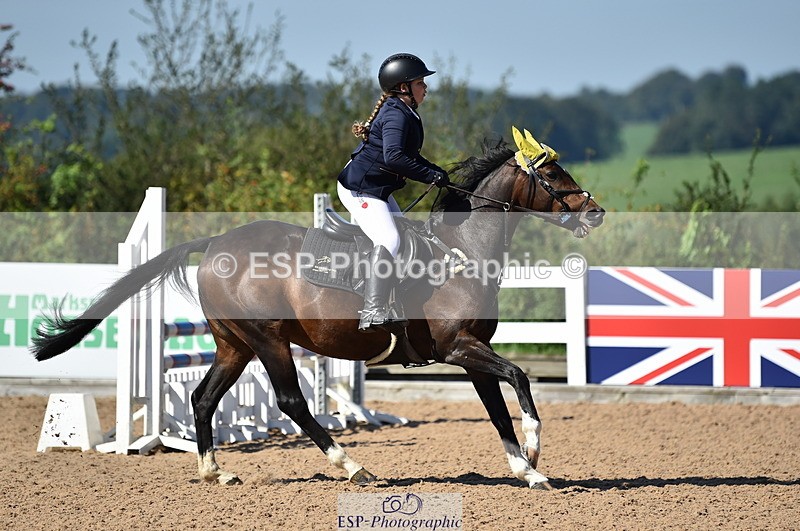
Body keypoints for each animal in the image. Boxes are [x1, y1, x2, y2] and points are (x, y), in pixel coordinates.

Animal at [32, 127, 605, 490]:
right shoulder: (459, 348)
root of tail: (217, 242)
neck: (460, 252)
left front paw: (526, 468)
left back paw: (216, 472)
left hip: (234, 344)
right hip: (269, 340)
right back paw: (352, 467)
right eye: (554, 174)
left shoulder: (471, 353)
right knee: (290, 401)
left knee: (202, 398)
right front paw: (535, 452)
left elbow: (498, 408)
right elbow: (520, 379)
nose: (595, 212)